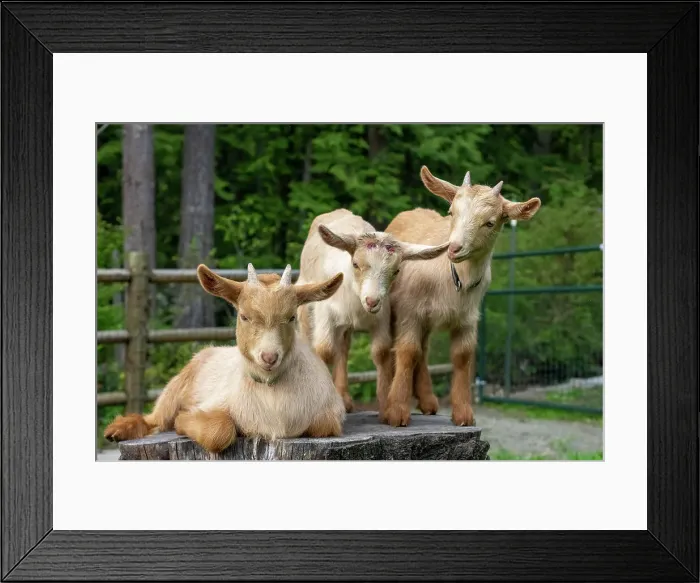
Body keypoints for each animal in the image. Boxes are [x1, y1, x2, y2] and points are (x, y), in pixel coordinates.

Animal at [104, 264, 346, 452]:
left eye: (291, 317)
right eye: (244, 316)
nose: (269, 357)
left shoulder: (330, 414)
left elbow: (323, 426)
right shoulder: (214, 403)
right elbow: (218, 430)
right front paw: (183, 420)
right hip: (176, 386)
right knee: (155, 419)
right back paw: (118, 430)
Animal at [296, 208, 449, 413]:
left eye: (396, 271)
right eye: (355, 264)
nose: (372, 301)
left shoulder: (382, 318)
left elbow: (381, 352)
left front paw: (386, 406)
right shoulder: (325, 314)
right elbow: (325, 351)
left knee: (343, 347)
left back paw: (344, 398)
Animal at [381, 167, 541, 427]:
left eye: (490, 222)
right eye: (451, 212)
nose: (454, 248)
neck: (454, 280)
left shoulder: (468, 318)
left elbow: (462, 357)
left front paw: (464, 414)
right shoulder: (409, 312)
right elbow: (407, 351)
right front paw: (396, 411)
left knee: (425, 349)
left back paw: (428, 401)